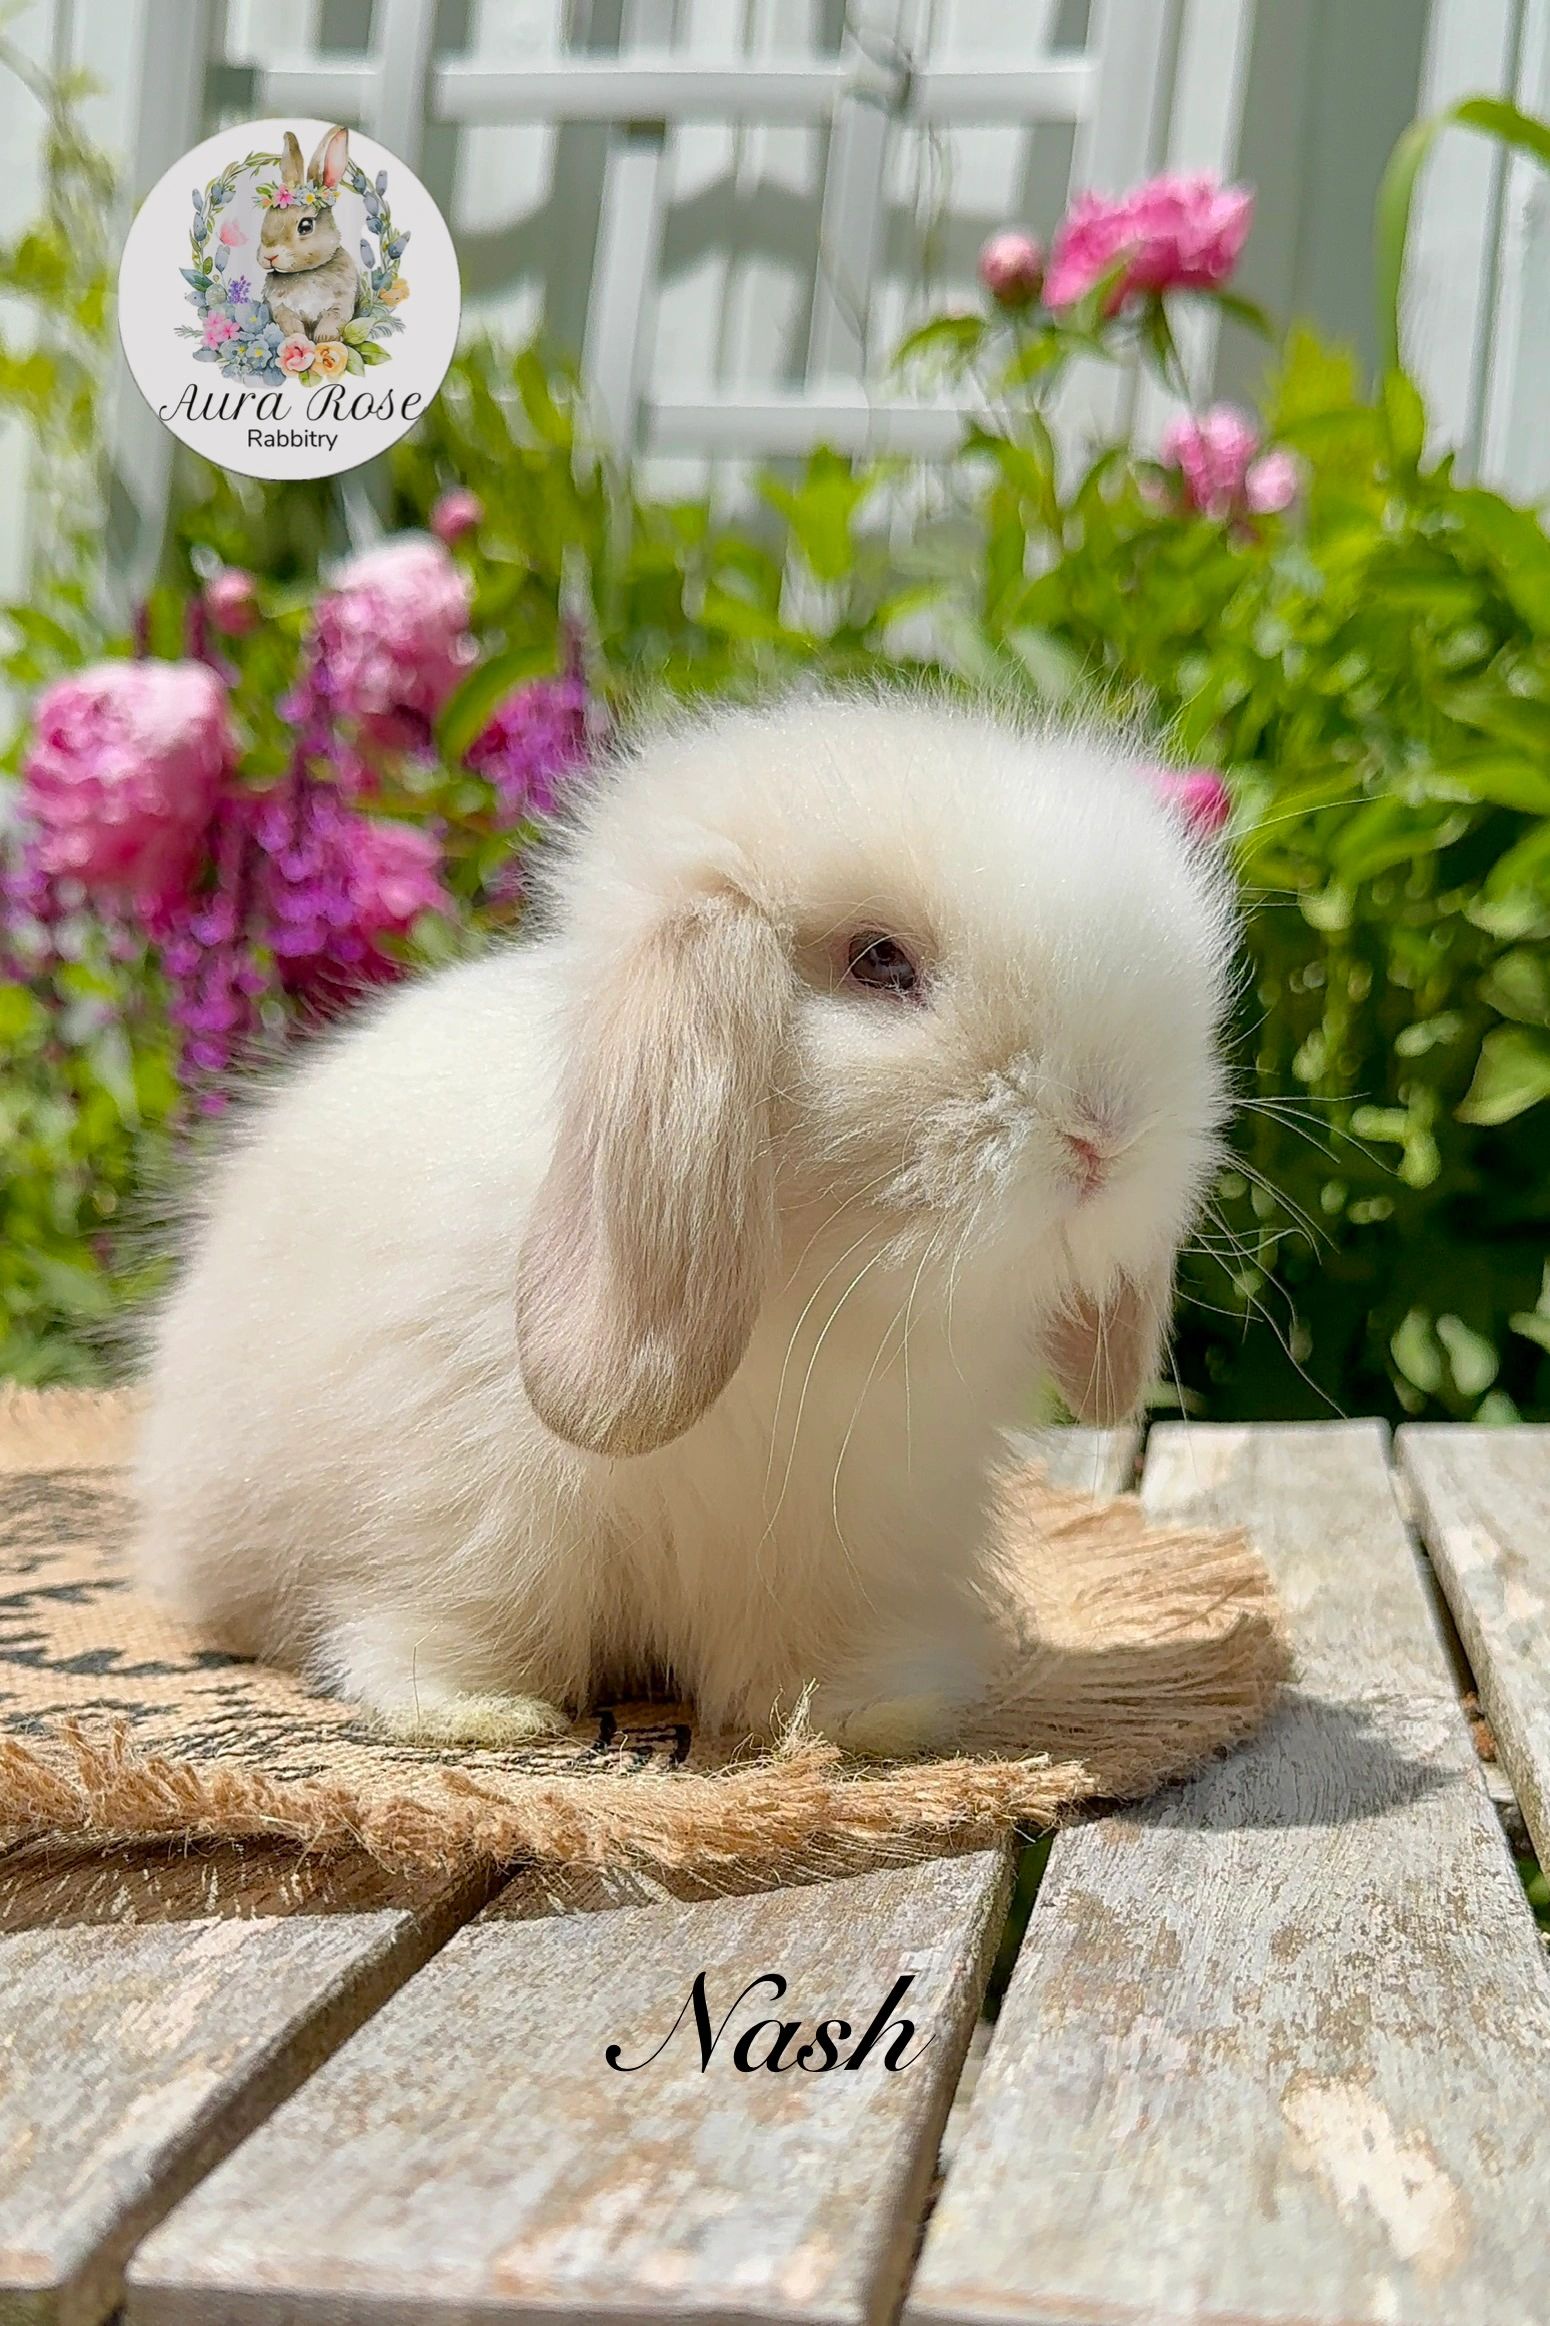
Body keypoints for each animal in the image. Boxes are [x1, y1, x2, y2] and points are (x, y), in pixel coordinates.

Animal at [133, 692, 1237, 1759]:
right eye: (880, 961)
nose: (1106, 1134)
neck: (807, 1302)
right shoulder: (468, 1507)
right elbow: (469, 1614)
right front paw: (476, 1712)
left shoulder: (843, 1535)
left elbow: (814, 1648)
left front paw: (868, 1718)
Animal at [258, 127, 360, 346]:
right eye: (267, 218)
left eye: (305, 226)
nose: (269, 256)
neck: (306, 272)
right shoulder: (282, 309)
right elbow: (292, 327)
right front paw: (298, 341)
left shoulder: (341, 303)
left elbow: (332, 321)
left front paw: (324, 340)